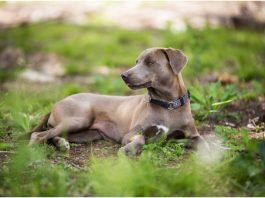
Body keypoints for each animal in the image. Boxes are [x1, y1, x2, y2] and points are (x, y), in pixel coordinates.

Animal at [29, 47, 206, 155]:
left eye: (150, 62)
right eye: (137, 62)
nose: (124, 75)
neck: (168, 105)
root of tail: (57, 103)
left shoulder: (192, 135)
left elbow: (204, 143)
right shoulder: (131, 134)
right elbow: (141, 138)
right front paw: (128, 150)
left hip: (86, 133)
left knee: (52, 135)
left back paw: (61, 144)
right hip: (78, 119)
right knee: (38, 135)